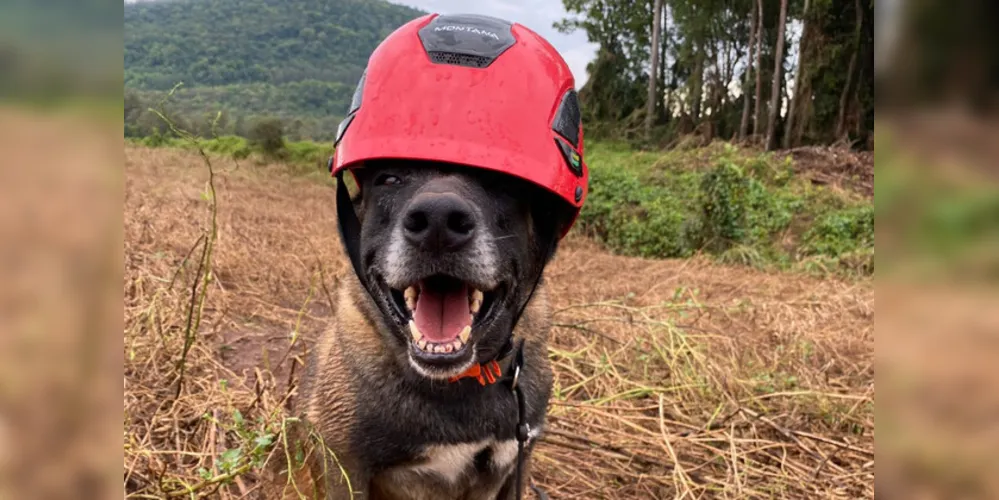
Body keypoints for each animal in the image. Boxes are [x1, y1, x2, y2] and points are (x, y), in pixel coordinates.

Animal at [278, 158, 580, 498]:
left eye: (501, 183)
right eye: (389, 179)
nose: (438, 221)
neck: (457, 382)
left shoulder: (512, 463)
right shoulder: (344, 470)